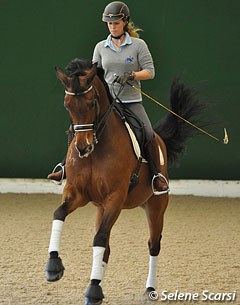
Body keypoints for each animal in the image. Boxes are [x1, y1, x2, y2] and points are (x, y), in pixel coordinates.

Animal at [46, 58, 207, 302]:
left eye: (92, 103)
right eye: (67, 105)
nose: (83, 148)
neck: (97, 149)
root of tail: (160, 138)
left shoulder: (116, 197)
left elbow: (99, 239)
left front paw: (93, 290)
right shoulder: (77, 193)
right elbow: (59, 214)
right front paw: (54, 266)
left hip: (155, 206)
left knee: (153, 245)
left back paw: (149, 290)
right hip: (101, 208)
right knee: (106, 246)